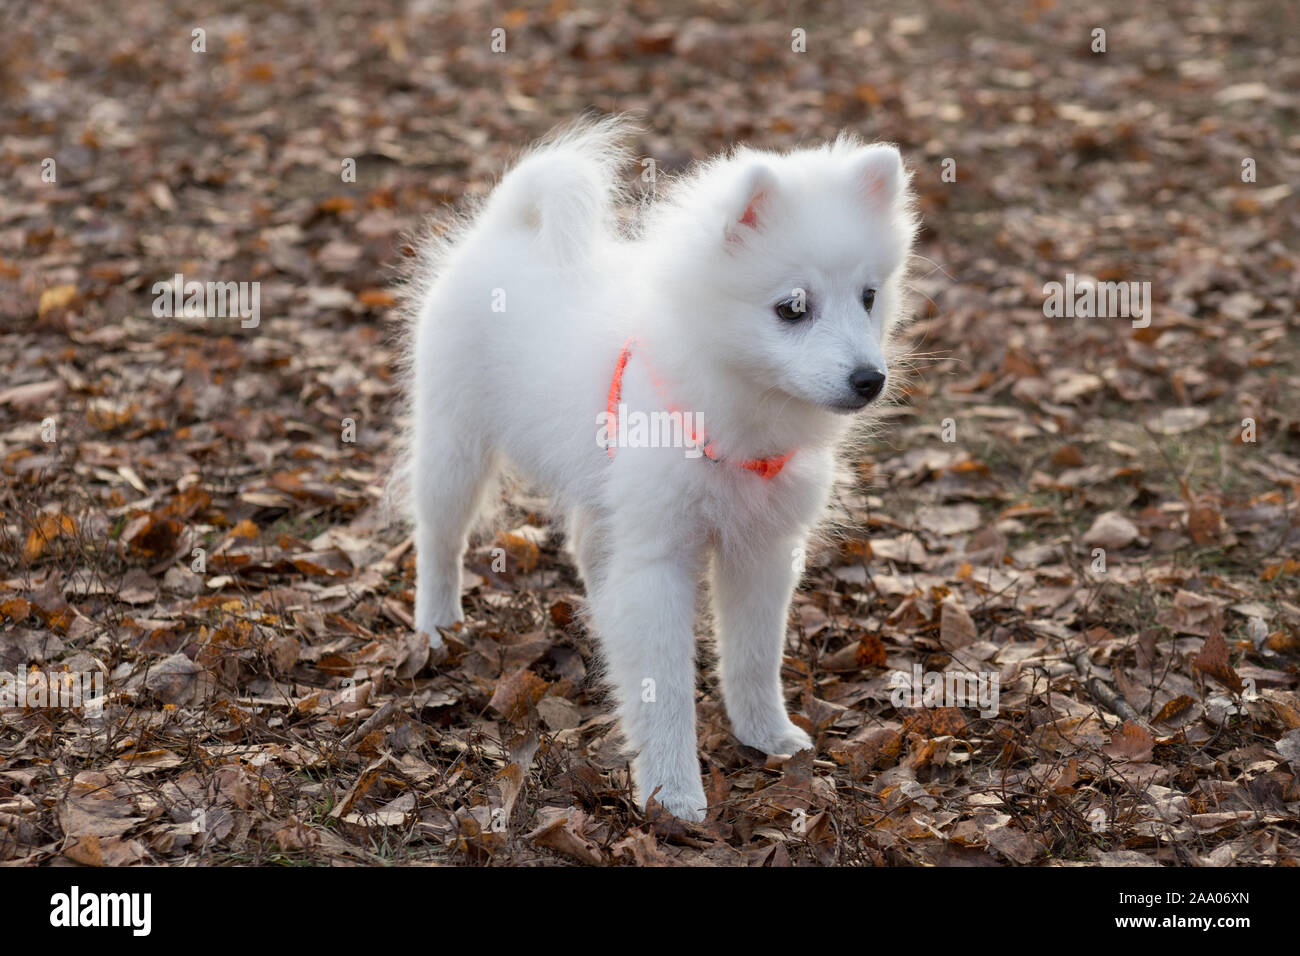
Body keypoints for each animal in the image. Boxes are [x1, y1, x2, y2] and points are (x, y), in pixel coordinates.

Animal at [400, 117, 920, 822]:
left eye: (869, 297)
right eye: (792, 307)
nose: (870, 380)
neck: (735, 402)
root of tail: (506, 227)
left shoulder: (763, 547)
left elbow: (754, 655)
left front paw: (768, 736)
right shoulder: (661, 557)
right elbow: (665, 686)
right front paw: (673, 793)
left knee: (589, 547)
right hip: (455, 443)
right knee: (440, 537)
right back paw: (437, 625)